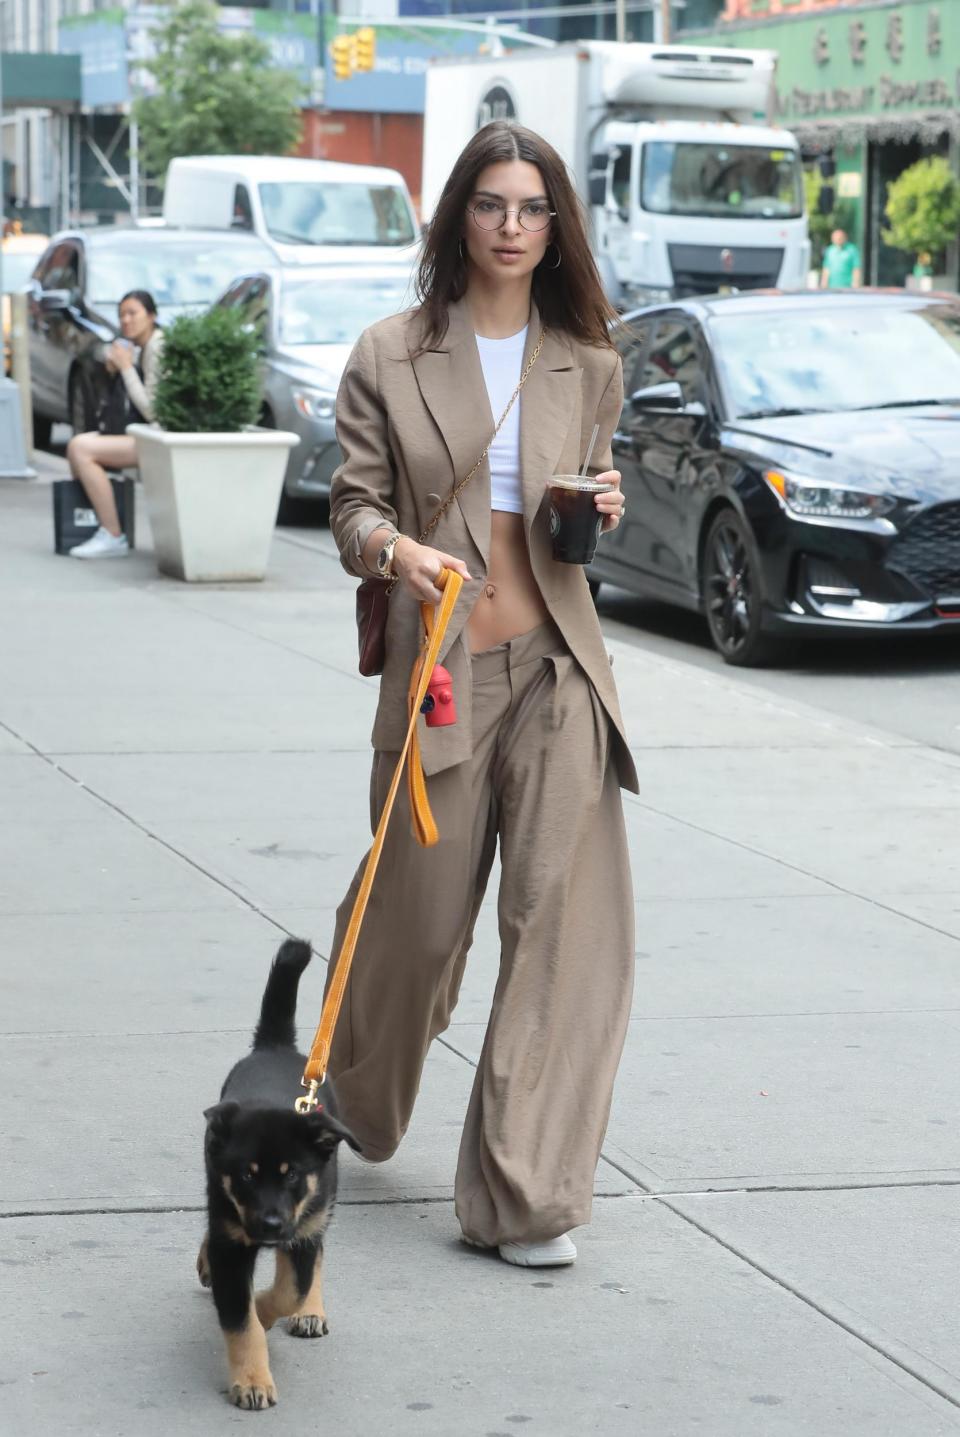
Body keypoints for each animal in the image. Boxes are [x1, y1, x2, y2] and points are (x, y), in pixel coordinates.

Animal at [196, 936, 357, 1408]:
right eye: (247, 1175)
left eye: (290, 1174)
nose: (269, 1224)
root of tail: (275, 1047)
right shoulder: (231, 1239)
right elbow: (240, 1320)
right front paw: (252, 1380)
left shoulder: (302, 1223)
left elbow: (290, 1289)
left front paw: (268, 1312)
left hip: (320, 1206)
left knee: (314, 1258)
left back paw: (310, 1312)